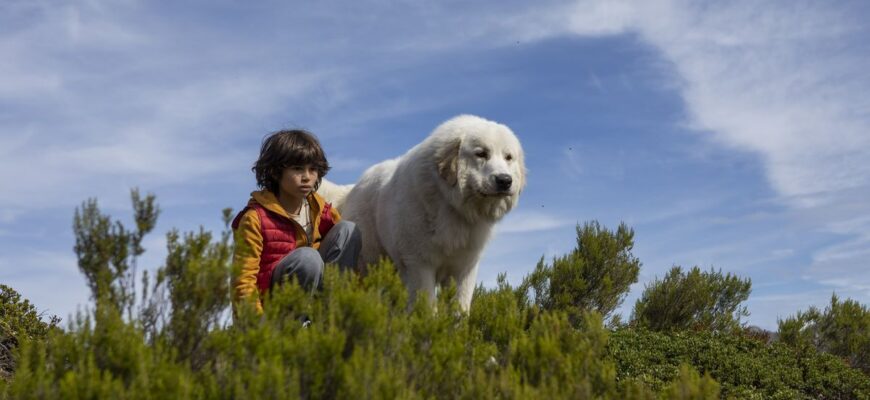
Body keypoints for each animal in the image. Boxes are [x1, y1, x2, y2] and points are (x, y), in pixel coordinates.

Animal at [320, 114, 524, 310]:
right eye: (481, 154)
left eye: (508, 157)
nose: (505, 180)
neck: (451, 205)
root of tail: (351, 189)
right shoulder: (420, 265)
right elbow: (427, 307)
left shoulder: (464, 269)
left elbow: (460, 307)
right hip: (369, 261)